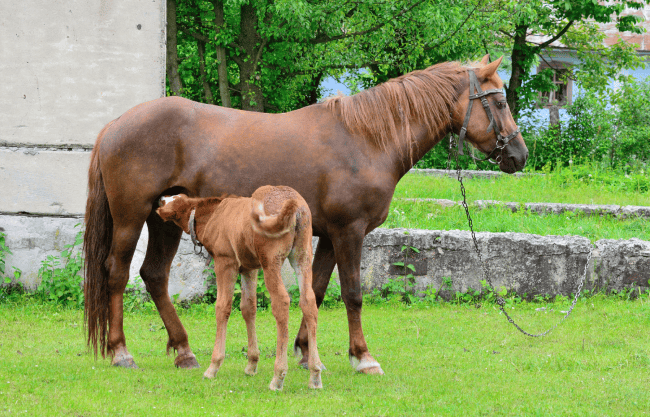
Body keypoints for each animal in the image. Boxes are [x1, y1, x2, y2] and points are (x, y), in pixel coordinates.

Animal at [83, 55, 528, 374]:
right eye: (500, 100)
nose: (520, 155)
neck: (366, 138)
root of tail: (114, 125)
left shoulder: (328, 235)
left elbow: (315, 289)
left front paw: (302, 351)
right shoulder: (350, 232)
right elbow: (351, 293)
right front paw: (362, 356)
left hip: (165, 220)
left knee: (154, 276)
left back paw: (184, 352)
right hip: (131, 218)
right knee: (117, 274)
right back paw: (121, 352)